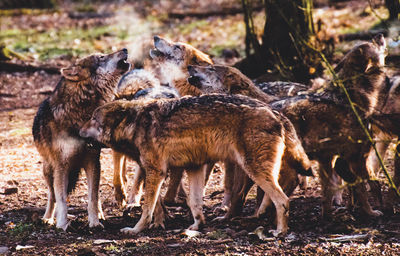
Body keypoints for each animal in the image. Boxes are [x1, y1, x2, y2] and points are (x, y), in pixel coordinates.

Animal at [33, 48, 130, 230]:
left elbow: (93, 198)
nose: (125, 49)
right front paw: (61, 224)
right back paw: (48, 218)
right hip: (48, 170)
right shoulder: (61, 166)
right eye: (101, 57)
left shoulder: (92, 160)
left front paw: (95, 222)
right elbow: (61, 199)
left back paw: (100, 215)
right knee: (52, 195)